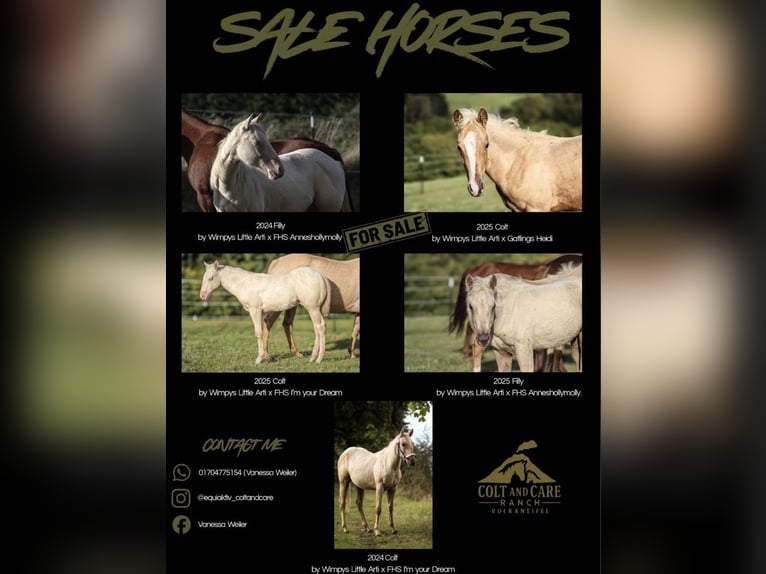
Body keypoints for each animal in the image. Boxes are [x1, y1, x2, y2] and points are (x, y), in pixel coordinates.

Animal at [199, 260, 331, 364]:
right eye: (204, 278)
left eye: (211, 278)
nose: (202, 296)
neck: (245, 283)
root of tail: (321, 276)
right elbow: (263, 332)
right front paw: (265, 357)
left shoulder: (255, 310)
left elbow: (258, 333)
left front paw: (259, 359)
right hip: (315, 309)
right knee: (318, 328)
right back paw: (313, 357)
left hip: (312, 308)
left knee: (320, 327)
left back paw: (318, 359)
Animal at [448, 254, 583, 372]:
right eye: (470, 306)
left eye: (493, 306)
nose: (483, 338)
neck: (509, 312)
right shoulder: (501, 353)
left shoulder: (524, 350)